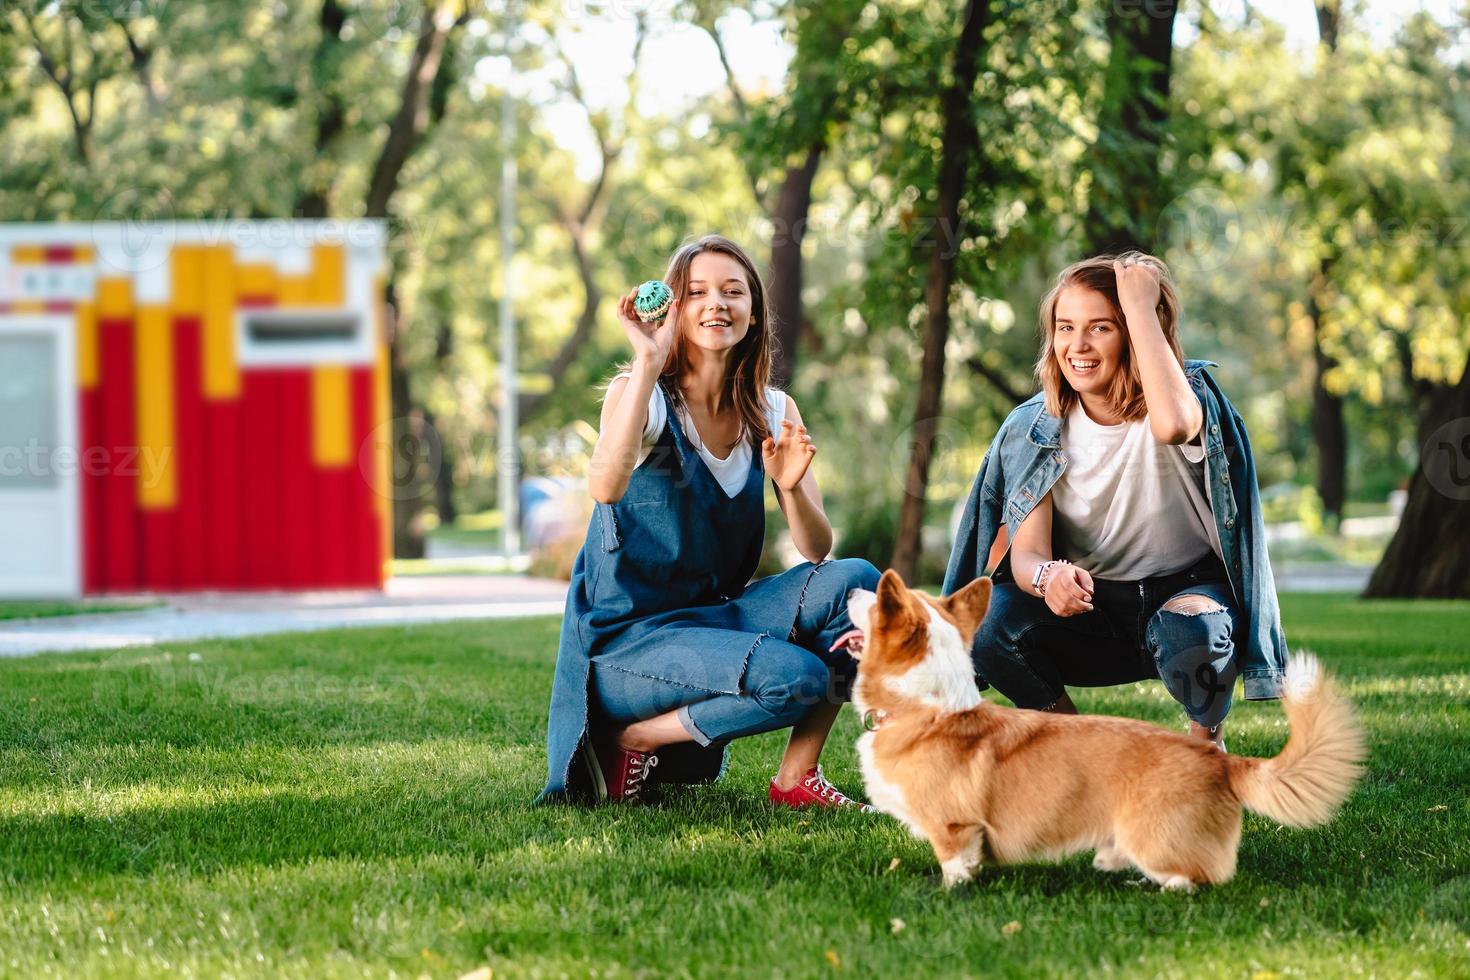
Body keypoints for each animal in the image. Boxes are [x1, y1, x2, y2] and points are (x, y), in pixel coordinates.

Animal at [846, 570, 1370, 893]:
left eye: (876, 603)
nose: (851, 590)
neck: (927, 706)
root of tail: (1220, 760)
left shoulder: (955, 828)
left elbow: (955, 865)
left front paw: (947, 893)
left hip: (1149, 834)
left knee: (1199, 876)